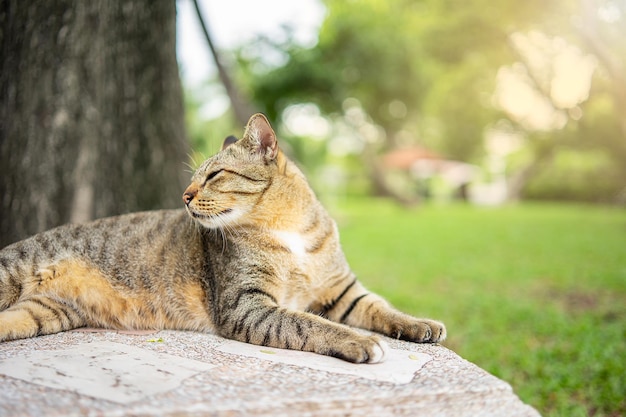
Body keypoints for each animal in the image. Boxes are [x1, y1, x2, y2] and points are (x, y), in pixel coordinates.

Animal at [0, 113, 444, 360]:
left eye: (214, 175)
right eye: (194, 178)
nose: (184, 195)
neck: (290, 231)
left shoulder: (342, 291)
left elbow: (381, 308)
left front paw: (418, 324)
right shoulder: (247, 306)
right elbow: (308, 324)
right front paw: (359, 341)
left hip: (44, 313)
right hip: (12, 274)